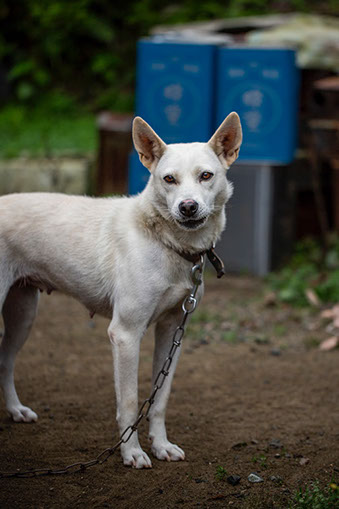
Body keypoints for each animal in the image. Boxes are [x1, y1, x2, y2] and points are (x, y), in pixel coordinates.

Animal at [1, 114, 243, 468]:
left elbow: (159, 398)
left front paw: (161, 446)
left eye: (206, 175)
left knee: (5, 361)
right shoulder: (125, 334)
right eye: (169, 179)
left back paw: (16, 410)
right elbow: (129, 403)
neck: (165, 242)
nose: (187, 207)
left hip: (22, 314)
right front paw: (132, 453)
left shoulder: (172, 331)